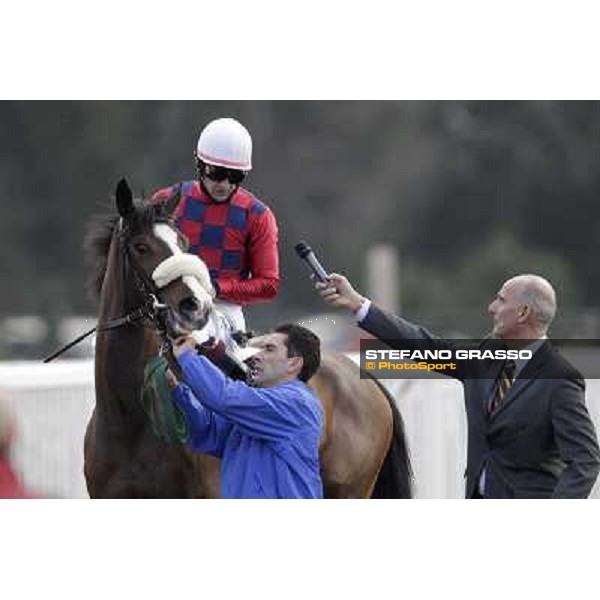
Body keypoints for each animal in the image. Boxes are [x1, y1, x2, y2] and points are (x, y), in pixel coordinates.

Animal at [83, 180, 412, 500]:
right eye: (140, 247)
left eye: (183, 244)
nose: (195, 305)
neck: (130, 418)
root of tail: (363, 377)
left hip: (351, 490)